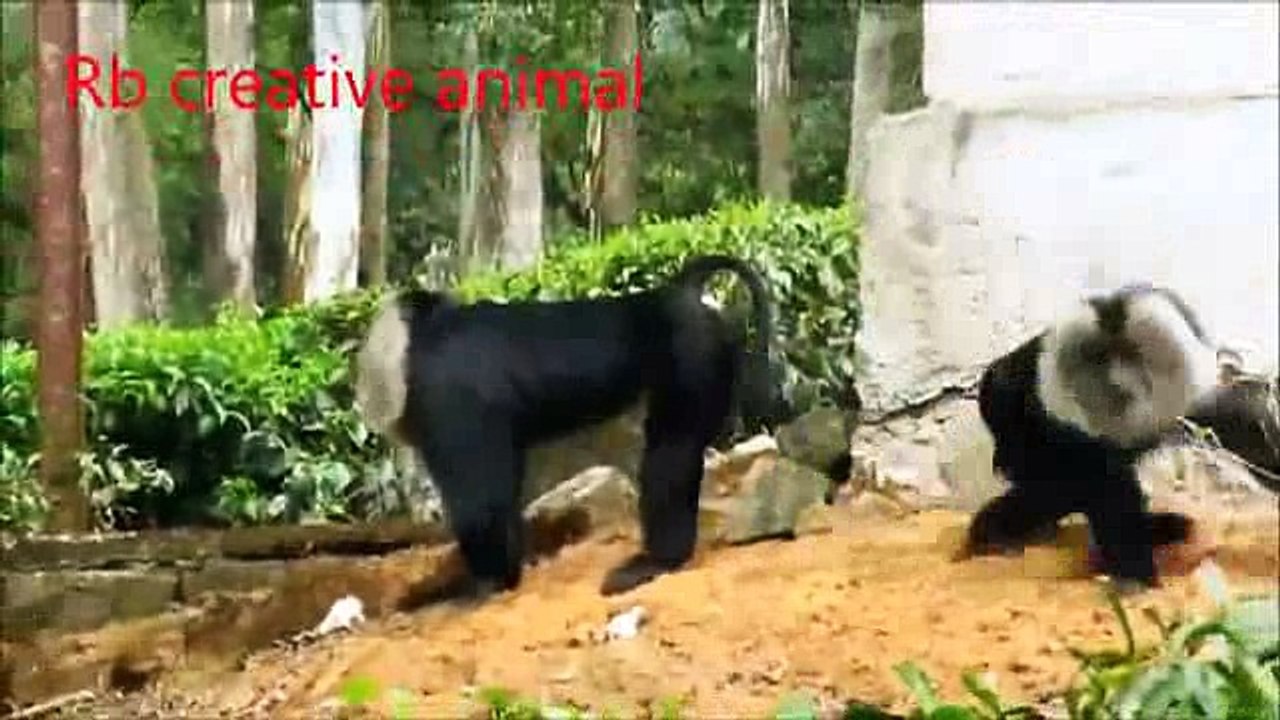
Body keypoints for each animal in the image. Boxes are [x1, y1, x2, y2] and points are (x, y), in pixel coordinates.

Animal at [354, 254, 779, 599]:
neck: (425, 338)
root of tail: (676, 295)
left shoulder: (447, 399)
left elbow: (482, 504)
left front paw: (483, 584)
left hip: (691, 360)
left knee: (670, 453)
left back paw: (658, 560)